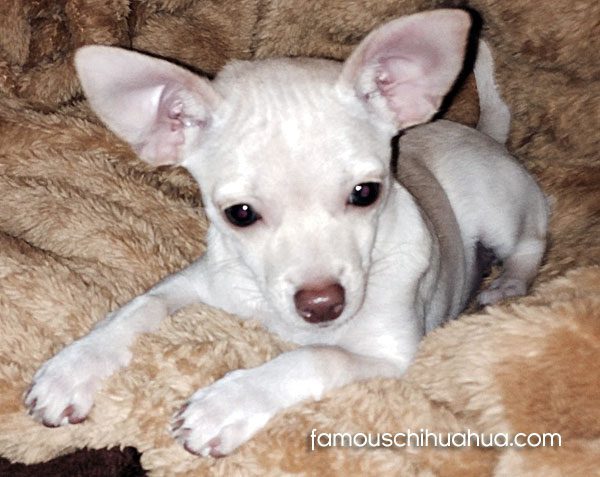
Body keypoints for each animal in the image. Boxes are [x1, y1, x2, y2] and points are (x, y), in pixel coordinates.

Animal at [24, 10, 548, 458]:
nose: (321, 304)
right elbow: (138, 308)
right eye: (239, 214)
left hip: (495, 206)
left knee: (532, 238)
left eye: (365, 193)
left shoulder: (391, 357)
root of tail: (482, 134)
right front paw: (74, 367)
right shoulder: (193, 283)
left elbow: (314, 359)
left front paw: (227, 404)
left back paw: (507, 283)